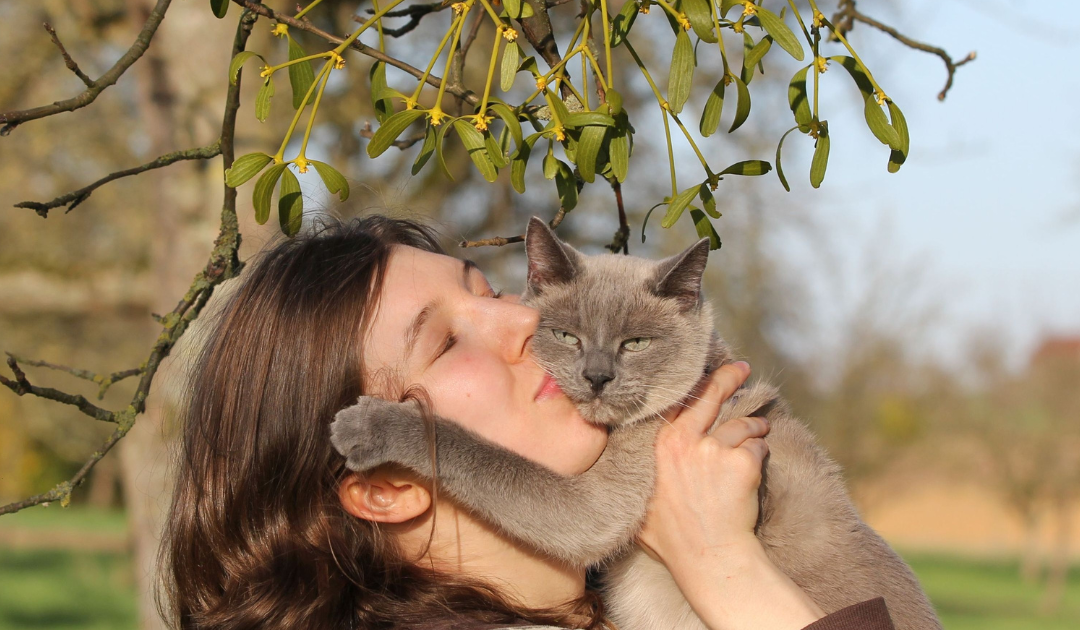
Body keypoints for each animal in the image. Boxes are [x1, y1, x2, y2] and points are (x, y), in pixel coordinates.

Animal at [332, 218, 941, 630]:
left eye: (636, 343)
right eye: (568, 336)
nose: (597, 376)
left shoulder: (597, 506)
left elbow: (473, 449)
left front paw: (361, 425)